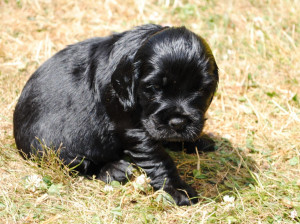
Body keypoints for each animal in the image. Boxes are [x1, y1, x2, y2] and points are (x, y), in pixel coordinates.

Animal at [13, 24, 218, 205]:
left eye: (201, 89)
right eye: (153, 87)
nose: (178, 123)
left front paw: (195, 141)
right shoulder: (132, 126)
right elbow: (158, 158)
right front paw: (177, 189)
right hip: (53, 144)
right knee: (79, 164)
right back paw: (113, 169)